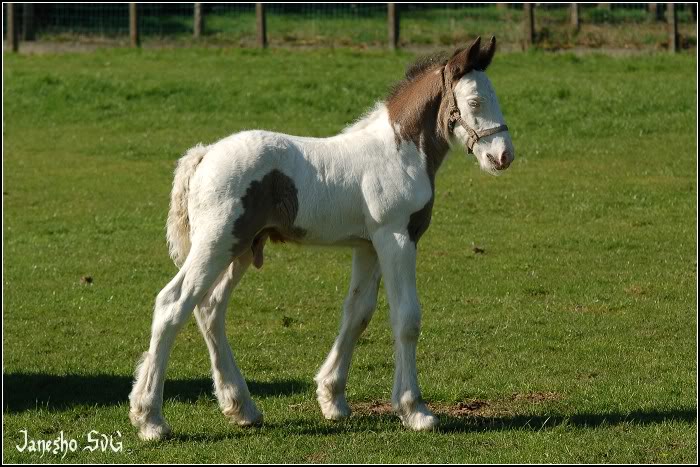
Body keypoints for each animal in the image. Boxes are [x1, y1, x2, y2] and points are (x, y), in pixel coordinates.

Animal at [130, 37, 516, 442]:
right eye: (475, 101)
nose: (503, 155)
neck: (400, 150)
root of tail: (204, 155)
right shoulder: (396, 237)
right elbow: (406, 317)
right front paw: (415, 410)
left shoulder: (368, 246)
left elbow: (358, 313)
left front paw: (333, 399)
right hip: (216, 243)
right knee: (173, 304)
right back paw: (150, 419)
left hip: (241, 248)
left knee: (210, 308)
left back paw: (242, 407)